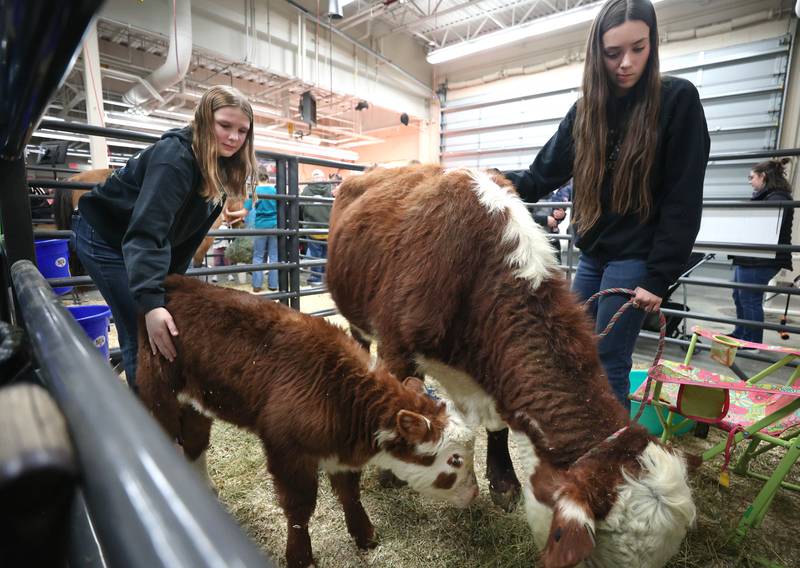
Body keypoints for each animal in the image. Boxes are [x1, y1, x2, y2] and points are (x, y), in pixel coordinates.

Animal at [136, 275, 479, 568]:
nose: (475, 494)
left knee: (196, 442)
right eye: (455, 459)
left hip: (198, 403)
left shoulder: (341, 454)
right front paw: (301, 557)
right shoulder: (288, 452)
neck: (342, 391)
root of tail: (177, 282)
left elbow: (350, 494)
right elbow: (300, 508)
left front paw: (365, 534)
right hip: (159, 395)